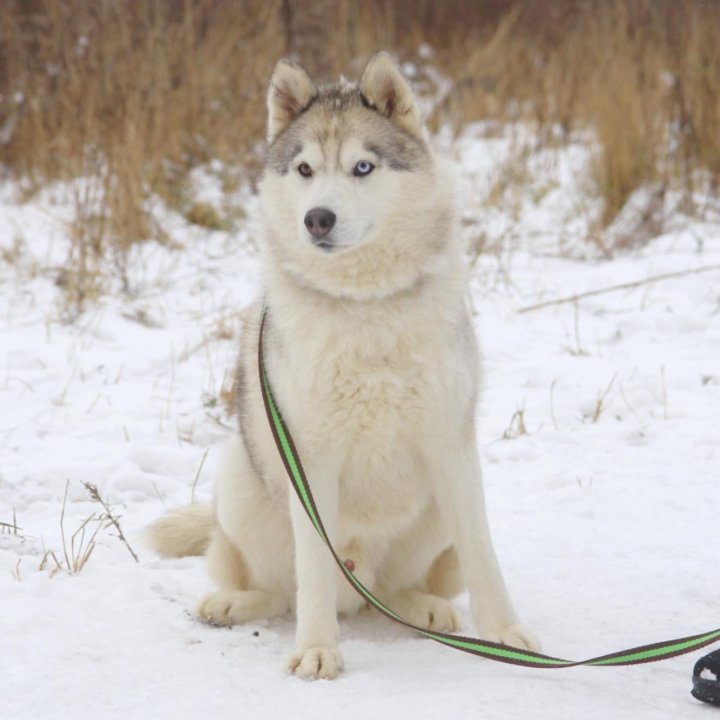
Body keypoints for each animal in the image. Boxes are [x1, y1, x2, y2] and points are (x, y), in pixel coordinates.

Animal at [149, 53, 536, 676]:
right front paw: (315, 650)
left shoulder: (452, 448)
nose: (318, 219)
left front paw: (505, 635)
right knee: (280, 590)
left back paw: (427, 609)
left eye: (362, 167)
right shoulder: (310, 459)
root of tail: (361, 584)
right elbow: (311, 576)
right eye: (305, 169)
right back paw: (231, 604)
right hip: (239, 475)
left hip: (436, 518)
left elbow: (484, 559)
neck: (364, 306)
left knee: (399, 592)